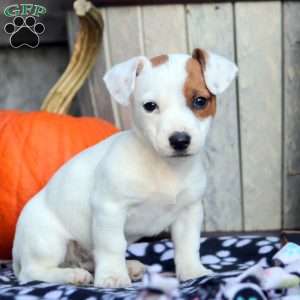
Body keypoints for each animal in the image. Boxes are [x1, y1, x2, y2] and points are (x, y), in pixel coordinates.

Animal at [11, 48, 238, 288]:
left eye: (200, 101)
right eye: (150, 106)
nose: (179, 140)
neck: (164, 166)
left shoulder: (189, 211)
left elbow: (187, 244)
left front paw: (193, 271)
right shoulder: (109, 209)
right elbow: (112, 245)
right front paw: (112, 276)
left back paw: (127, 266)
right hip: (47, 240)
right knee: (32, 273)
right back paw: (72, 275)